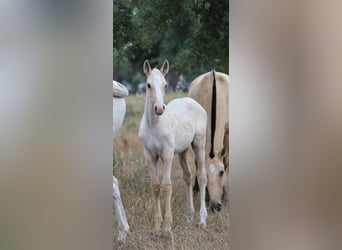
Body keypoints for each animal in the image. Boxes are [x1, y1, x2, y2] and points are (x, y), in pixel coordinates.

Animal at [138, 59, 207, 231]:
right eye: (148, 85)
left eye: (165, 84)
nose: (159, 109)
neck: (154, 125)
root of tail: (194, 102)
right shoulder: (150, 155)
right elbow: (155, 186)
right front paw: (157, 225)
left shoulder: (167, 155)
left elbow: (167, 186)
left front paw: (167, 226)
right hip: (182, 151)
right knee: (188, 176)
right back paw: (189, 215)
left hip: (199, 144)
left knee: (202, 177)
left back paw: (202, 219)